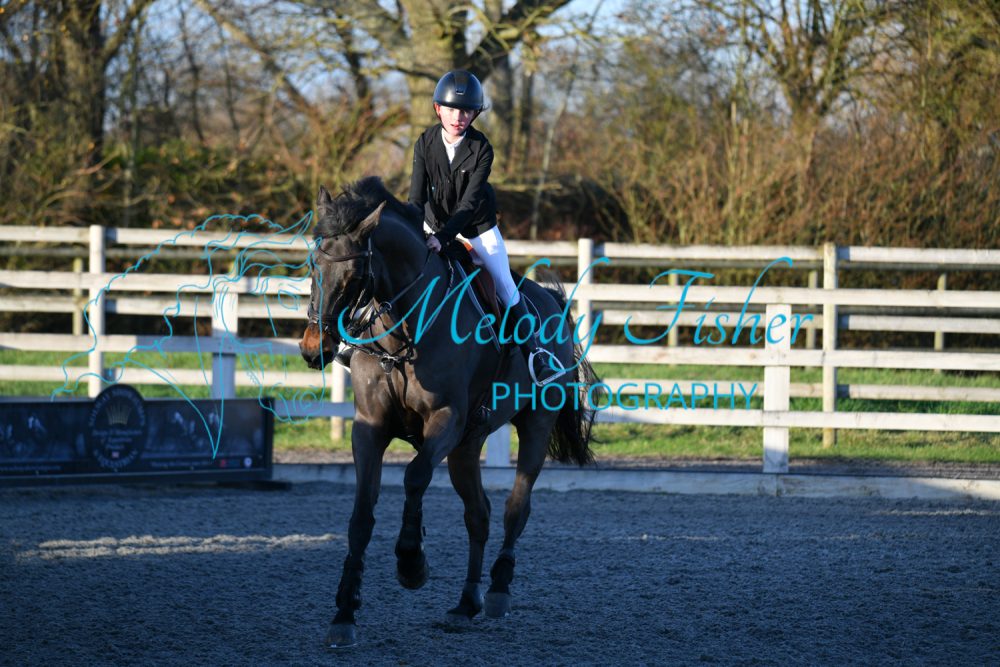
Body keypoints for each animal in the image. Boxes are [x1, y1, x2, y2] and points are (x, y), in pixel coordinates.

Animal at [298, 177, 601, 647]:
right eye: (313, 267)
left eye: (354, 276)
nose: (316, 350)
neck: (404, 333)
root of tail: (552, 302)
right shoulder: (369, 429)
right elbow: (361, 515)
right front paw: (345, 611)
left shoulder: (445, 421)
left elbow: (415, 476)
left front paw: (411, 563)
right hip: (466, 446)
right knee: (479, 514)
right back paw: (466, 603)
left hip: (532, 425)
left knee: (516, 507)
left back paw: (497, 591)